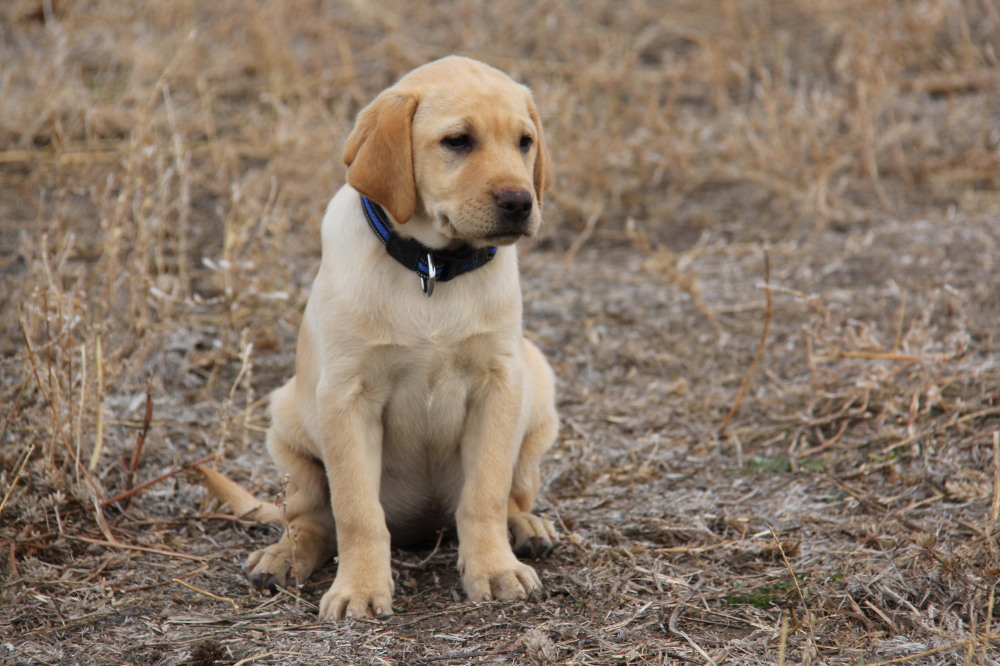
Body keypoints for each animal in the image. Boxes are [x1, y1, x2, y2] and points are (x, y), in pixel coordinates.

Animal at [207, 55, 560, 616]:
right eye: (457, 141)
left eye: (525, 142)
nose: (520, 202)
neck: (432, 269)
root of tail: (423, 523)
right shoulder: (347, 396)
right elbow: (357, 511)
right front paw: (359, 589)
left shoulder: (499, 383)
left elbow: (484, 493)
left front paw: (494, 569)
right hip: (287, 432)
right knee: (311, 522)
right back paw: (283, 557)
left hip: (537, 390)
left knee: (510, 493)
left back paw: (525, 527)